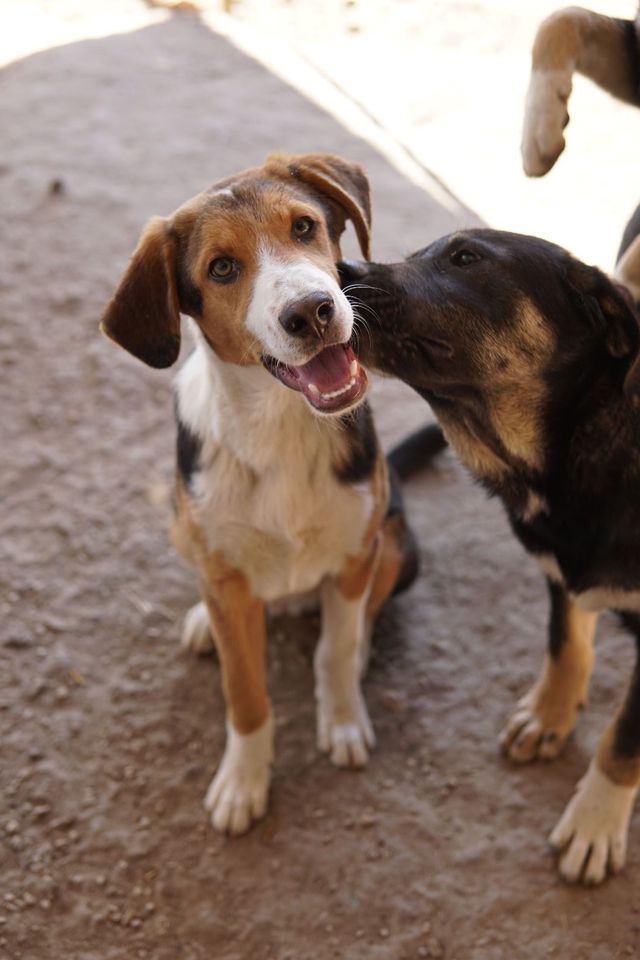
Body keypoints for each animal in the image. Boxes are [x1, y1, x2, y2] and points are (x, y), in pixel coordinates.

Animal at [101, 150, 420, 832]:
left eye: (303, 227)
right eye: (221, 268)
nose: (312, 311)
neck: (281, 426)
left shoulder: (356, 552)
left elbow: (335, 647)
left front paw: (342, 720)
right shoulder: (226, 578)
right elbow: (245, 694)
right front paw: (243, 783)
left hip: (397, 544)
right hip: (184, 529)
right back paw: (204, 621)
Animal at [342, 231, 640, 884]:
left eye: (465, 258)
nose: (337, 272)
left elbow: (622, 739)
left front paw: (594, 821)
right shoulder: (560, 567)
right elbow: (565, 643)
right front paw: (550, 716)